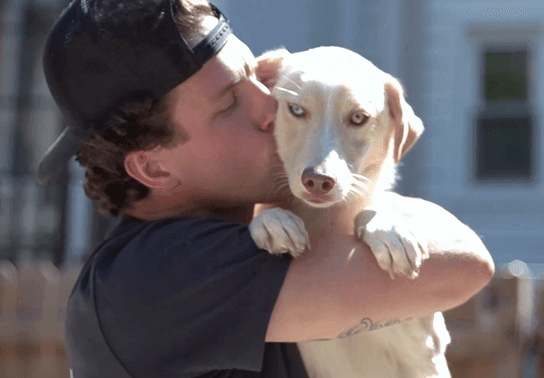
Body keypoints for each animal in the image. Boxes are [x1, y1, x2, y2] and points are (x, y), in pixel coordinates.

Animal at [248, 47, 450, 378]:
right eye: (296, 110)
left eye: (358, 118)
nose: (318, 180)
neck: (324, 220)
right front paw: (272, 220)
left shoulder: (426, 343)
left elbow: (371, 208)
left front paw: (389, 230)